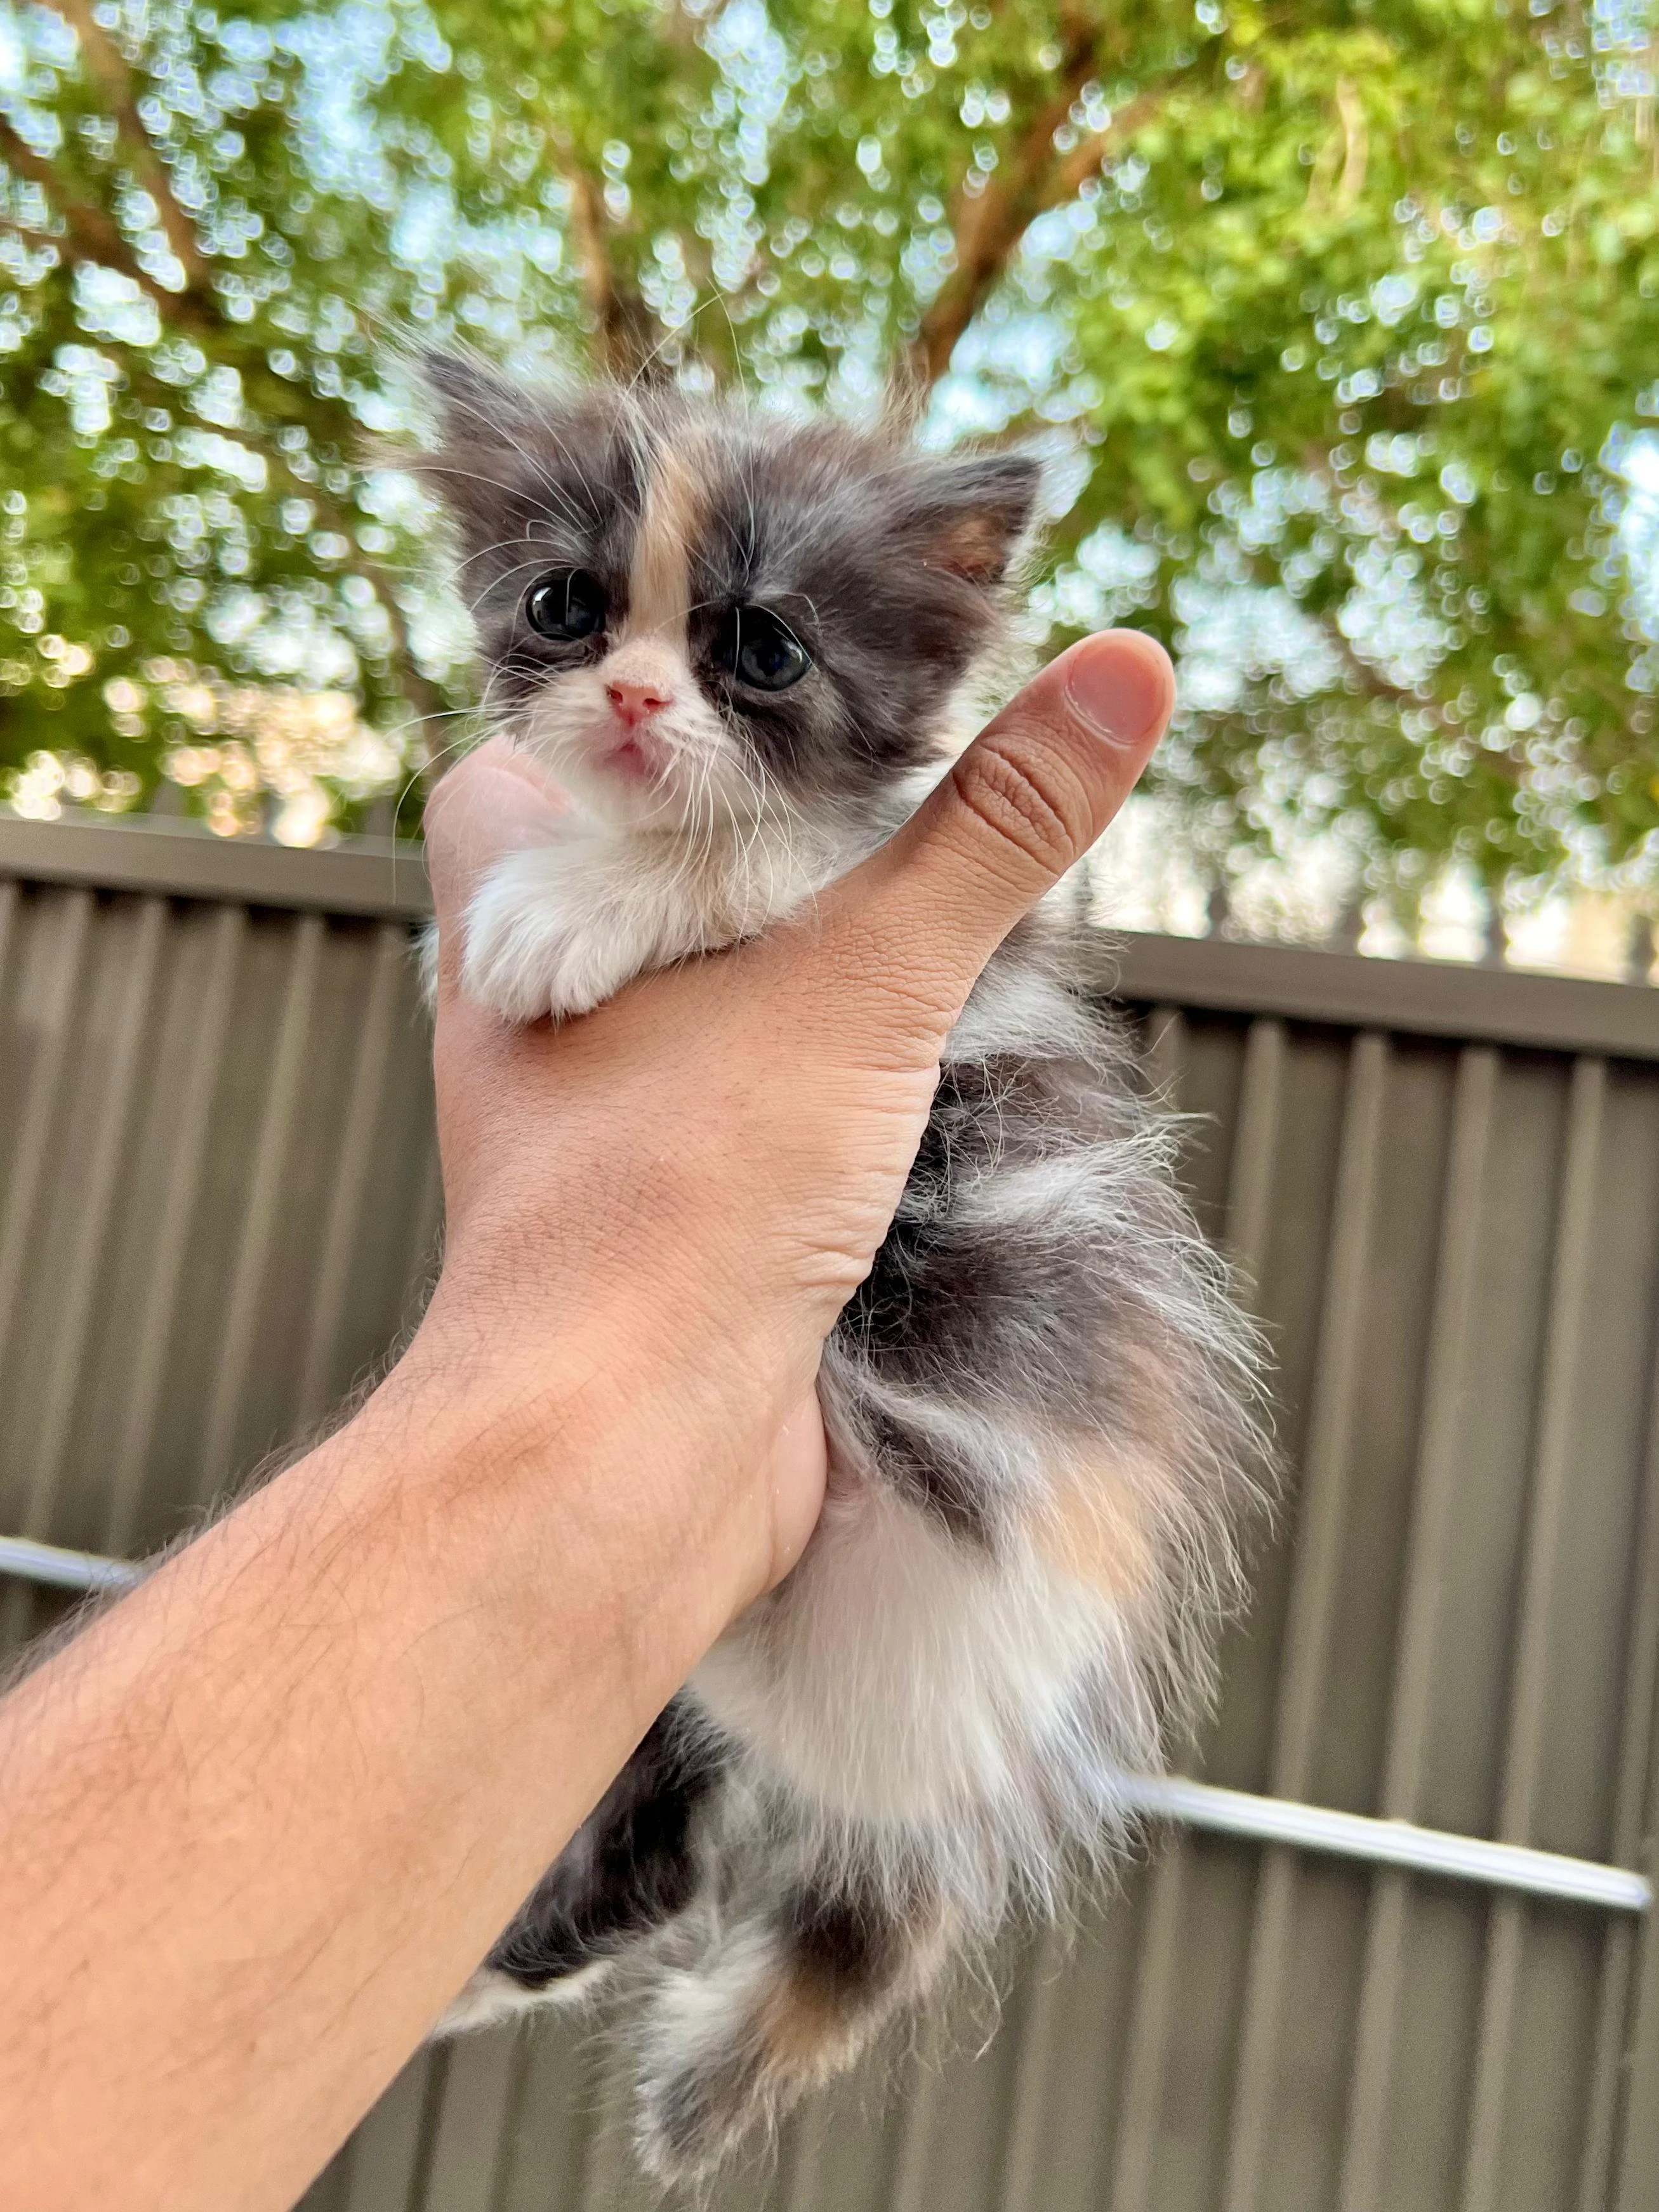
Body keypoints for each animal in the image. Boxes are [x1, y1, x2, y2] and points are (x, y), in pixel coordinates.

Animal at [416, 358, 1274, 2176]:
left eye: (762, 646)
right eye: (564, 605)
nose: (631, 704)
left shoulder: (907, 933)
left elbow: (755, 861)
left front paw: (559, 908)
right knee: (654, 1858)